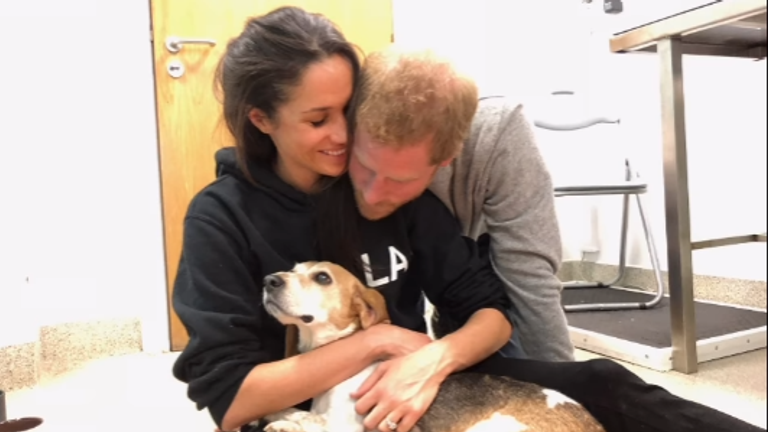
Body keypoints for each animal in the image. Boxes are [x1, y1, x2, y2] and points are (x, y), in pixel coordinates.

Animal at [260, 260, 608, 432]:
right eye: (292, 269)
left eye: (322, 278)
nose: (268, 280)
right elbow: (292, 411)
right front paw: (280, 418)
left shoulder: (353, 426)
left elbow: (312, 422)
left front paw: (284, 425)